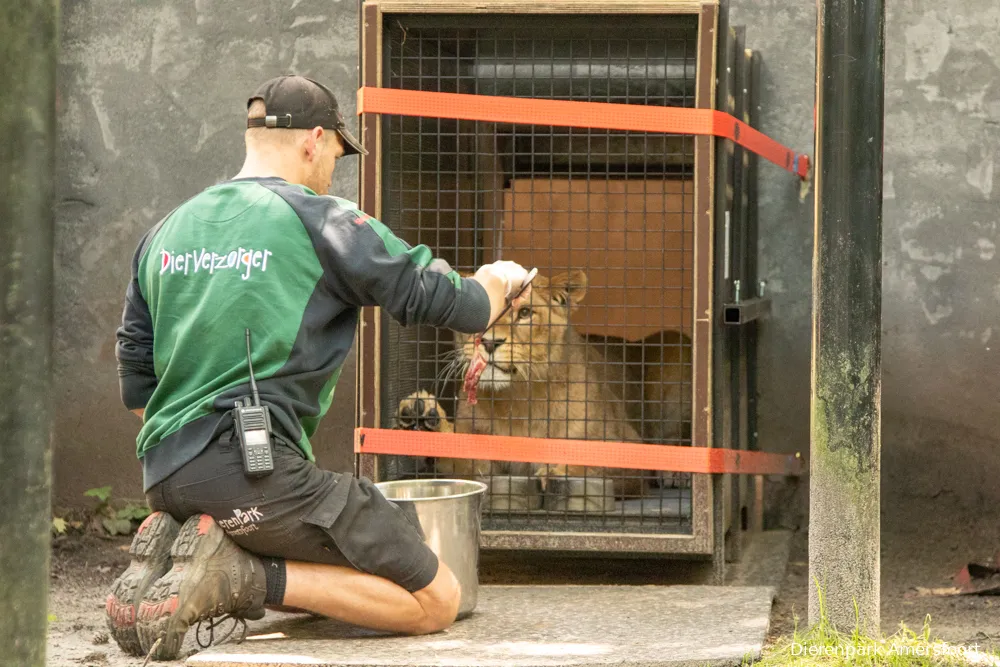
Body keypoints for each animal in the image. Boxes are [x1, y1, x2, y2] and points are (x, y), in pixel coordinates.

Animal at [394, 268, 692, 498]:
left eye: (525, 313)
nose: (488, 342)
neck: (519, 398)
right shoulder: (485, 462)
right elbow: (460, 459)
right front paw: (424, 418)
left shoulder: (628, 450)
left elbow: (595, 464)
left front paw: (559, 471)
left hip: (675, 346)